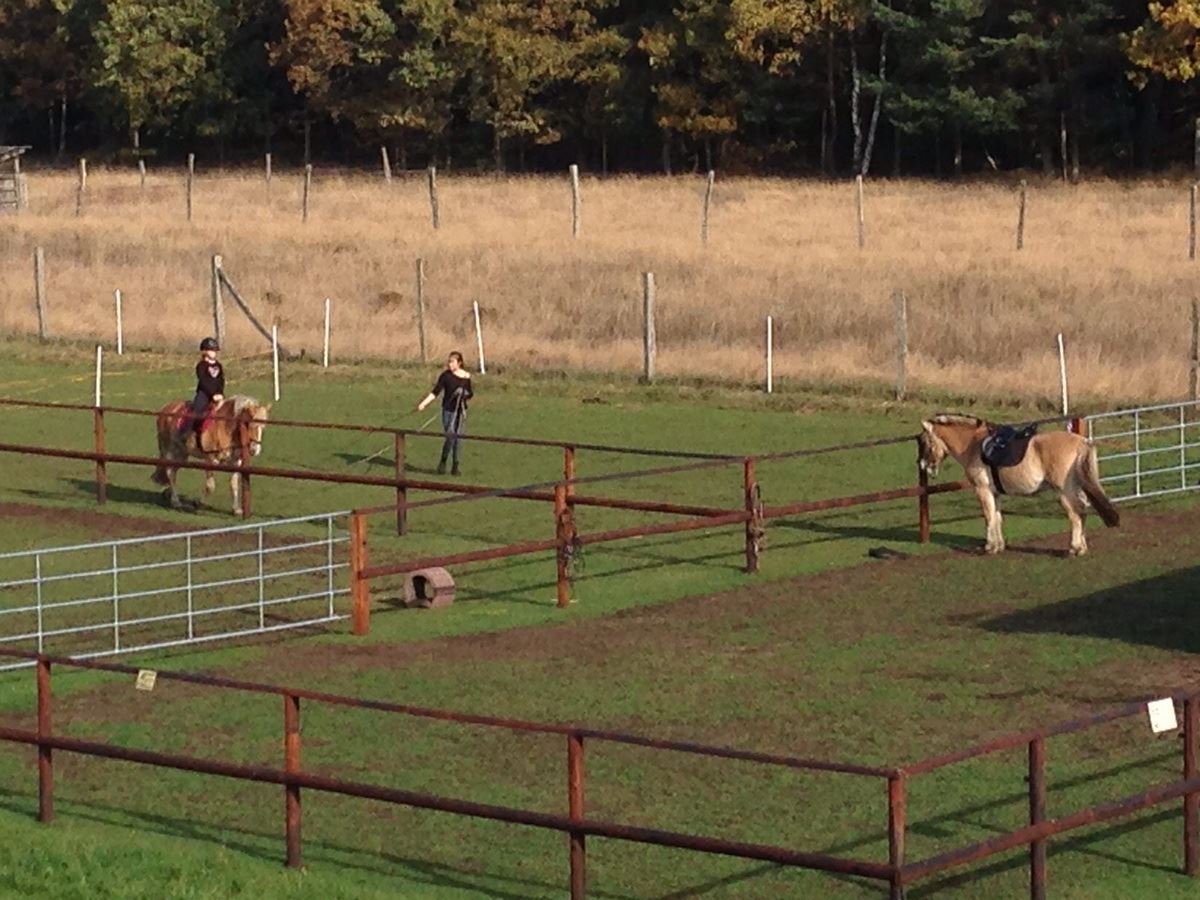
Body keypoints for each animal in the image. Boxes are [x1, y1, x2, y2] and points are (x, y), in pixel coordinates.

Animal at [916, 415, 1123, 556]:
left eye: (925, 442)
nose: (923, 465)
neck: (973, 444)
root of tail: (1082, 442)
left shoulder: (982, 490)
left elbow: (988, 517)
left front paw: (989, 547)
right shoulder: (995, 493)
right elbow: (997, 517)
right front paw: (999, 545)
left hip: (1065, 492)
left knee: (1076, 515)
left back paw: (1075, 548)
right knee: (1083, 512)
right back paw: (1082, 546)